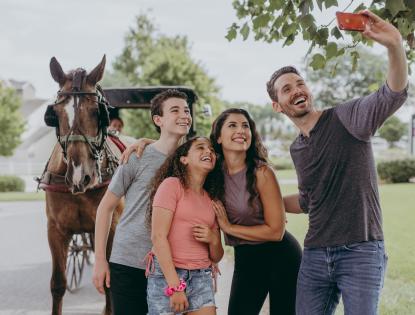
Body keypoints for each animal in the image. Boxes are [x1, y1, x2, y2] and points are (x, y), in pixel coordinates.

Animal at [39, 56, 122, 315]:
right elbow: (58, 284)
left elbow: (110, 282)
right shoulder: (55, 230)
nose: (79, 176)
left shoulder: (112, 227)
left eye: (98, 112)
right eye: (55, 114)